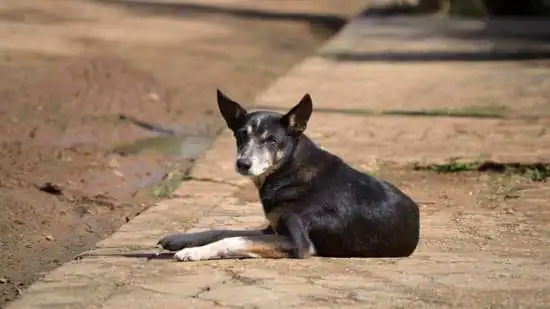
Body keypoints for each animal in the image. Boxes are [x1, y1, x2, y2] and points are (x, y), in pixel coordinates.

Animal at [157, 90, 420, 262]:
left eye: (272, 141)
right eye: (241, 135)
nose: (243, 164)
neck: (290, 170)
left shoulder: (296, 243)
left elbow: (233, 240)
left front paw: (193, 252)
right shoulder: (271, 230)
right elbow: (222, 231)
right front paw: (180, 239)